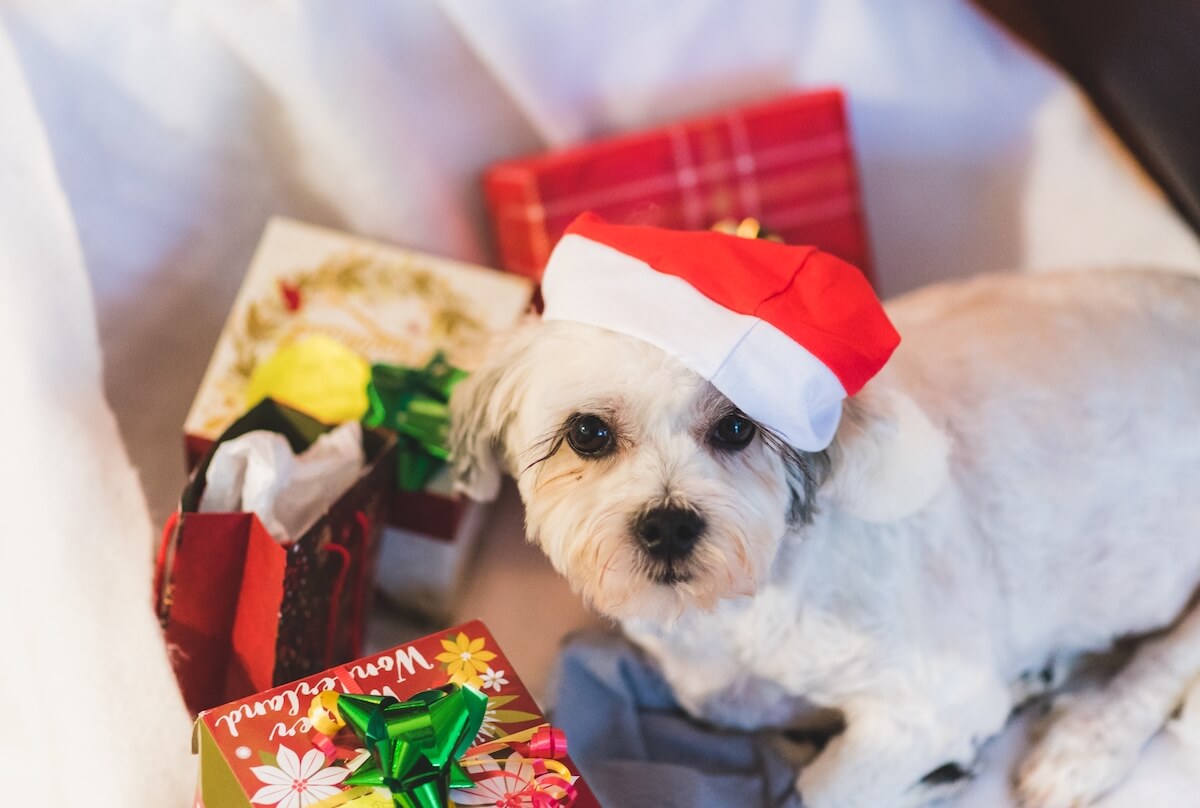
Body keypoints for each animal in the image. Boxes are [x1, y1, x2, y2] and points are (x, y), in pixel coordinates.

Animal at [448, 266, 1200, 806]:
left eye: (737, 427)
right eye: (588, 432)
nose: (668, 524)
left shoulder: (932, 696)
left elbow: (823, 788)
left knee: (1165, 660)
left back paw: (1085, 743)